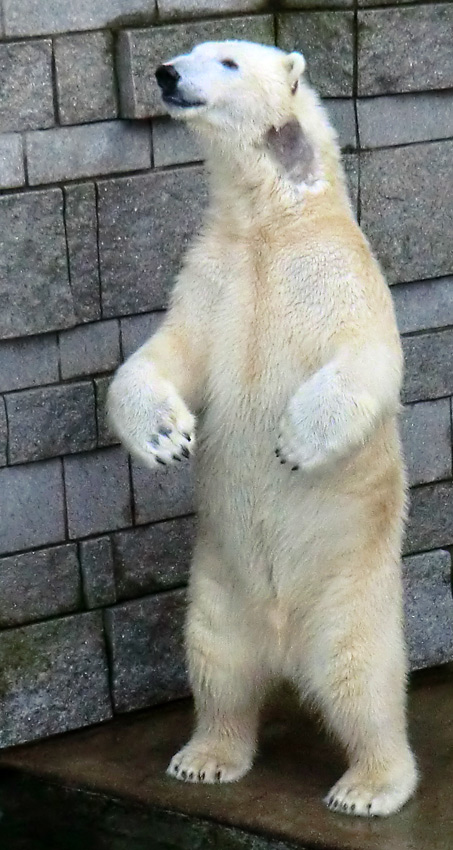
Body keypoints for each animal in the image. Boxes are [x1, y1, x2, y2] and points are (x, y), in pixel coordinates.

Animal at [108, 41, 416, 816]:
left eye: (224, 60)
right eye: (190, 53)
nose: (165, 73)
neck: (272, 224)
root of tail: (285, 646)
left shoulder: (336, 277)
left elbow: (366, 361)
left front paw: (295, 442)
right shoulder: (211, 279)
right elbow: (166, 356)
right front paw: (166, 439)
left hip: (349, 592)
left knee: (361, 678)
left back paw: (369, 786)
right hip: (217, 591)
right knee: (217, 668)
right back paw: (205, 756)